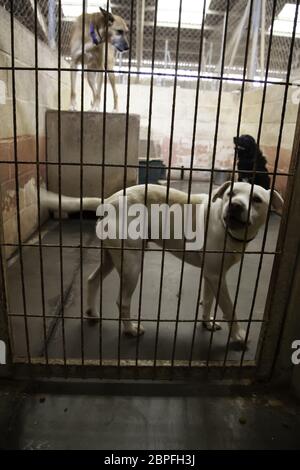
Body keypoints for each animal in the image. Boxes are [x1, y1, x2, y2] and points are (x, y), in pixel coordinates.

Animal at [41, 182, 284, 346]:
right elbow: (229, 307)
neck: (228, 230)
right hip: (132, 266)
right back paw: (130, 329)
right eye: (230, 194)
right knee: (122, 301)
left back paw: (92, 312)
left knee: (92, 280)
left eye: (257, 199)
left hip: (111, 258)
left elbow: (208, 301)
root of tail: (108, 202)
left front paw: (207, 323)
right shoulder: (216, 277)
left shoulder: (213, 274)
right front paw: (239, 335)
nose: (234, 205)